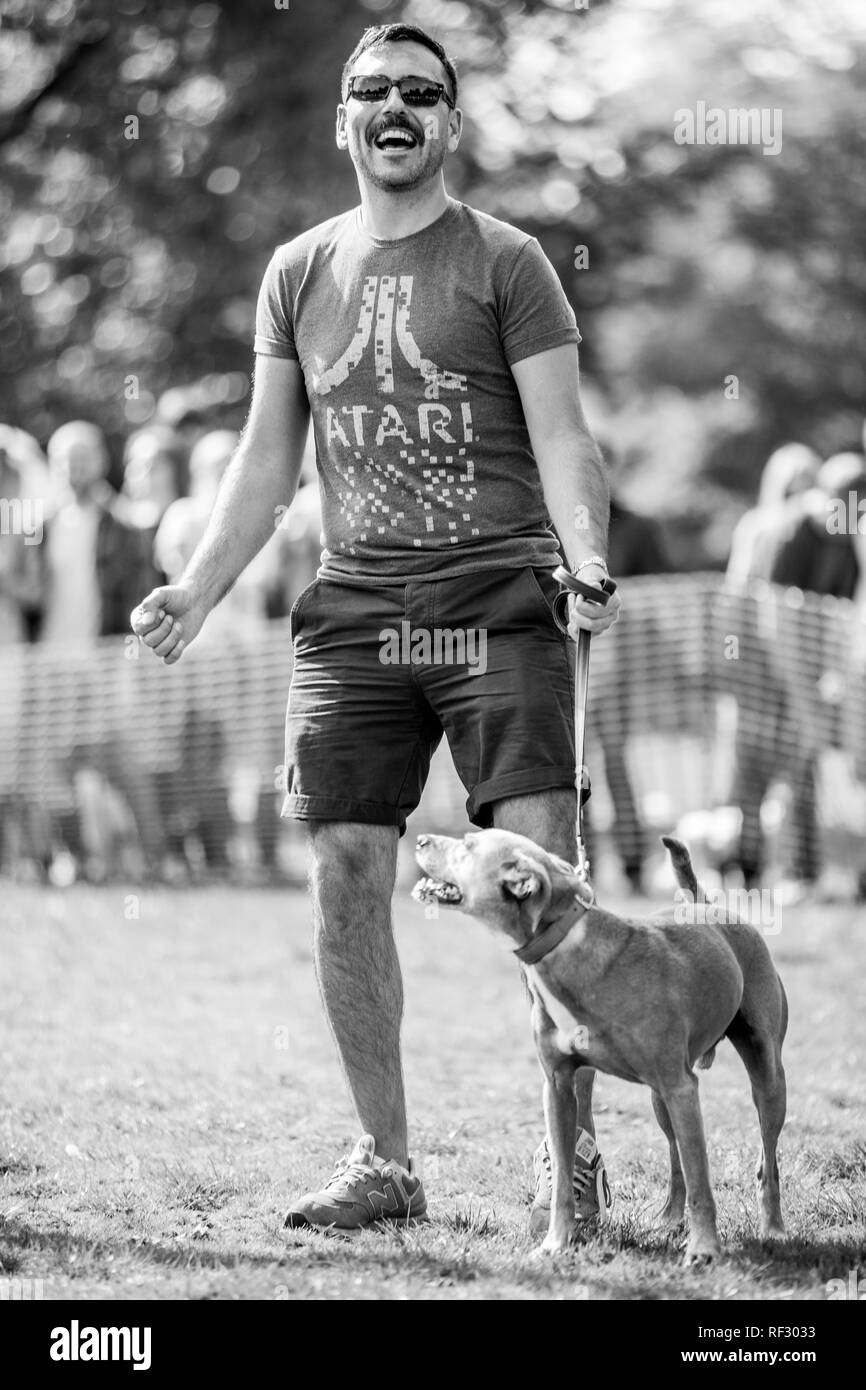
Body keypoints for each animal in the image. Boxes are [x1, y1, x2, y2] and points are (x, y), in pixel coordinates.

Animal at [417, 828, 789, 1267]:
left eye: (469, 846)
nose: (419, 839)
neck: (566, 948)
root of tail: (705, 906)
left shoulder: (681, 1087)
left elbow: (703, 1183)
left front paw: (705, 1250)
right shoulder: (558, 1087)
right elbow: (563, 1180)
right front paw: (555, 1243)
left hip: (765, 1077)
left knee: (765, 1158)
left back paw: (773, 1227)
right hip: (661, 1100)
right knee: (676, 1156)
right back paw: (669, 1217)